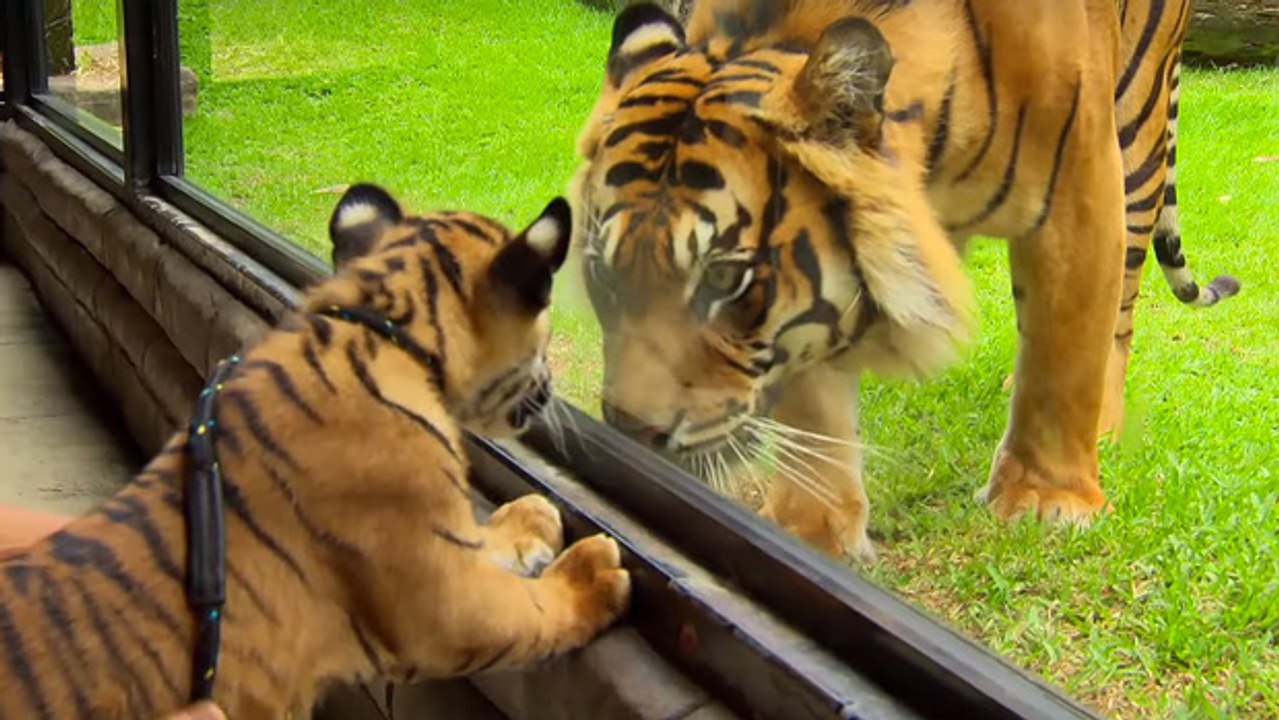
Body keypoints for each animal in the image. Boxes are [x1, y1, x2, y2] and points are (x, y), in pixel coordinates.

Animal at [0, 184, 631, 719]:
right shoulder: (447, 604)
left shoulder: (440, 532)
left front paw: (531, 517)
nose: (550, 387)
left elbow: (483, 534)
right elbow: (534, 611)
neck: (385, 327)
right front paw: (593, 575)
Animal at [568, 0, 1240, 560]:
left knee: (1119, 311)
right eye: (603, 273)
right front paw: (815, 529)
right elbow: (813, 398)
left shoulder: (1081, 185)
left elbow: (1066, 350)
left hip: (1140, 140)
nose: (631, 432)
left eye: (723, 279)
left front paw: (1048, 501)